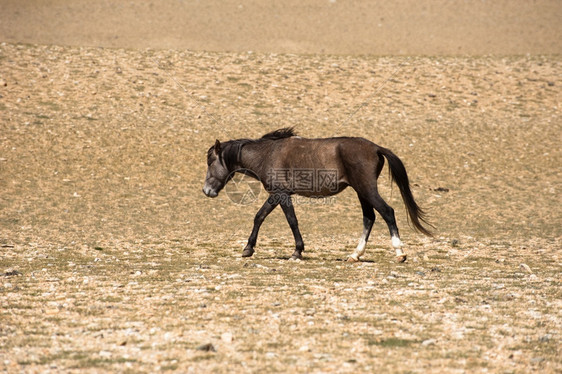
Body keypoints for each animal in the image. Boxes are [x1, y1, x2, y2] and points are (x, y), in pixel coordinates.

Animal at [203, 129, 430, 262]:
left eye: (210, 161)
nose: (207, 190)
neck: (267, 154)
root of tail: (375, 147)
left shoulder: (281, 194)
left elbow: (291, 221)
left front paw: (297, 252)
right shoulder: (278, 194)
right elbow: (260, 216)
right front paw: (248, 249)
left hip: (366, 189)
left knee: (387, 212)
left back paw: (399, 253)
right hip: (361, 192)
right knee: (369, 217)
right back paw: (355, 255)